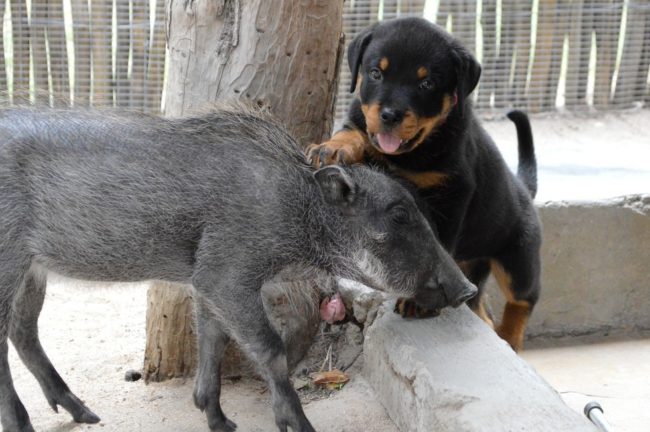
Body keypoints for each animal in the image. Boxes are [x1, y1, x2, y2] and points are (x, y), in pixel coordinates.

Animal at [306, 18, 540, 352]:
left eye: (426, 84)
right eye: (376, 73)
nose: (390, 115)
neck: (406, 155)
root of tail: (525, 192)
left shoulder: (453, 194)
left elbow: (437, 245)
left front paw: (421, 302)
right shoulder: (361, 123)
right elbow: (354, 130)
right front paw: (332, 147)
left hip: (518, 257)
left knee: (522, 301)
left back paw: (510, 339)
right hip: (475, 265)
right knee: (482, 306)